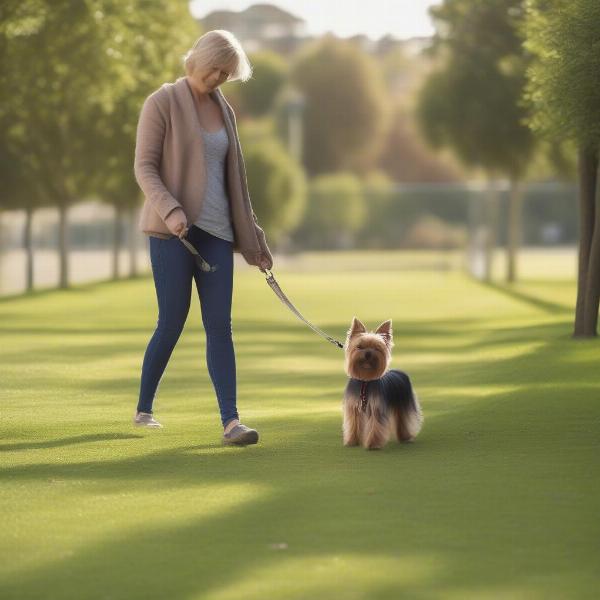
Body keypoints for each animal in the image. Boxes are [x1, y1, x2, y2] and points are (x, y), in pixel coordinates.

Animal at [342, 316, 422, 448]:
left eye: (376, 348)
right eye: (360, 347)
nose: (368, 353)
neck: (365, 381)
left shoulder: (376, 408)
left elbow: (376, 426)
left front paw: (373, 444)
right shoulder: (353, 408)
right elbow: (354, 424)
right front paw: (352, 441)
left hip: (404, 403)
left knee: (404, 419)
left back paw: (405, 437)